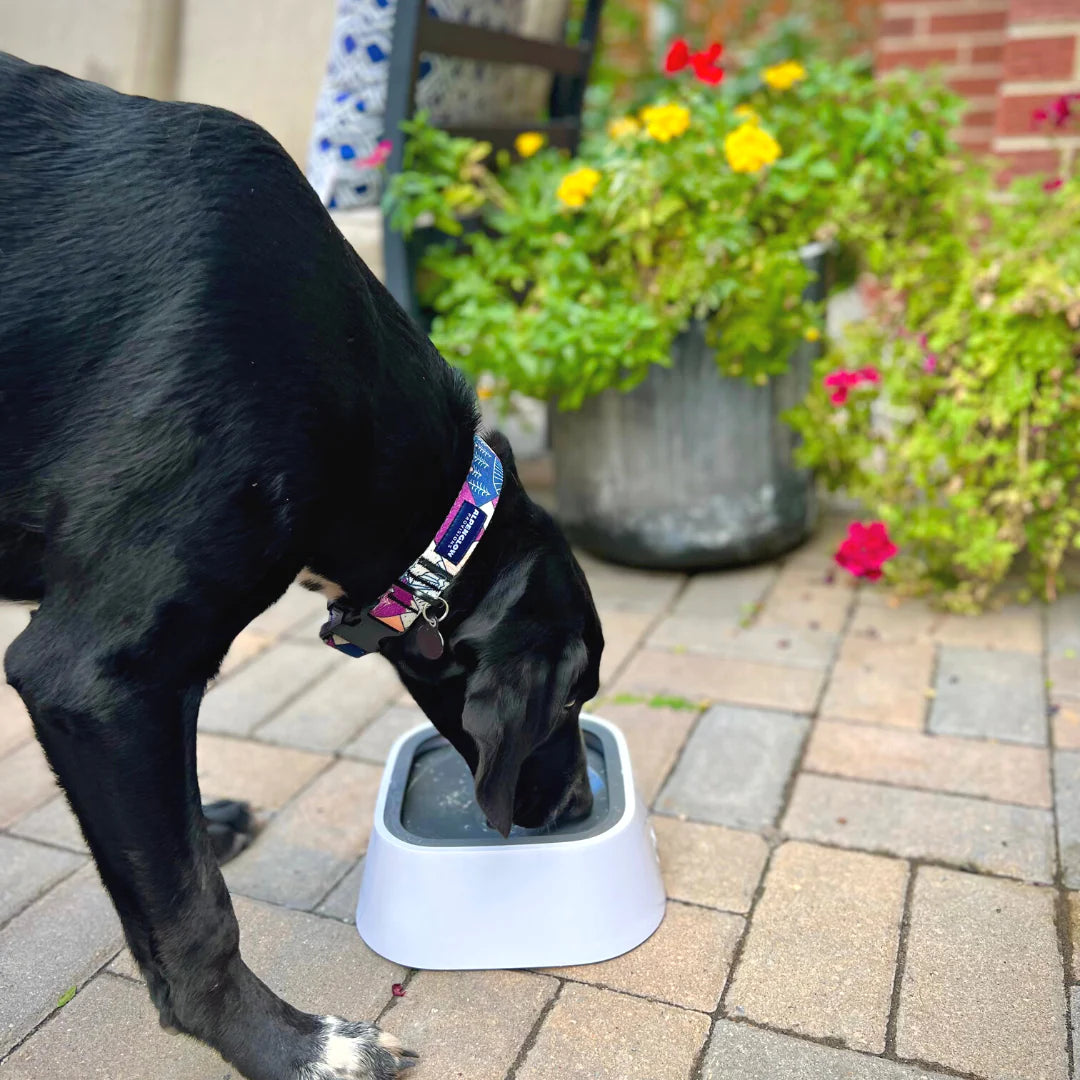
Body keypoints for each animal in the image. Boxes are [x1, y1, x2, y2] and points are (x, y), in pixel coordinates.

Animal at [0, 56, 600, 1080]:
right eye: (570, 702)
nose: (578, 807)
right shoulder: (95, 677)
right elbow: (195, 916)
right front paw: (293, 1048)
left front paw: (208, 826)